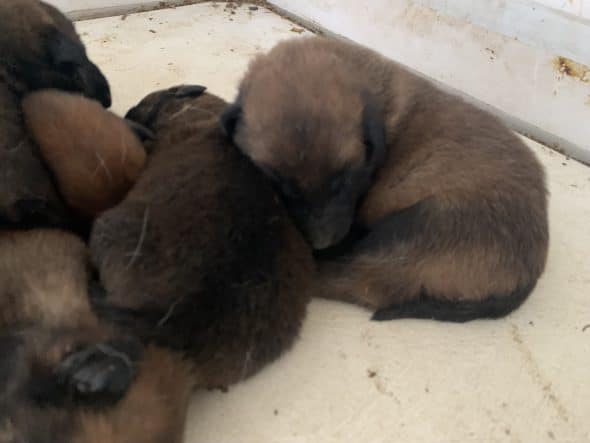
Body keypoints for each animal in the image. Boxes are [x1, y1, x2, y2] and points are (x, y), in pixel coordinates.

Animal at [222, 36, 552, 322]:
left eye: (345, 181)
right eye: (281, 186)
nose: (322, 243)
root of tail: (530, 272)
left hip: (415, 225)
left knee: (358, 283)